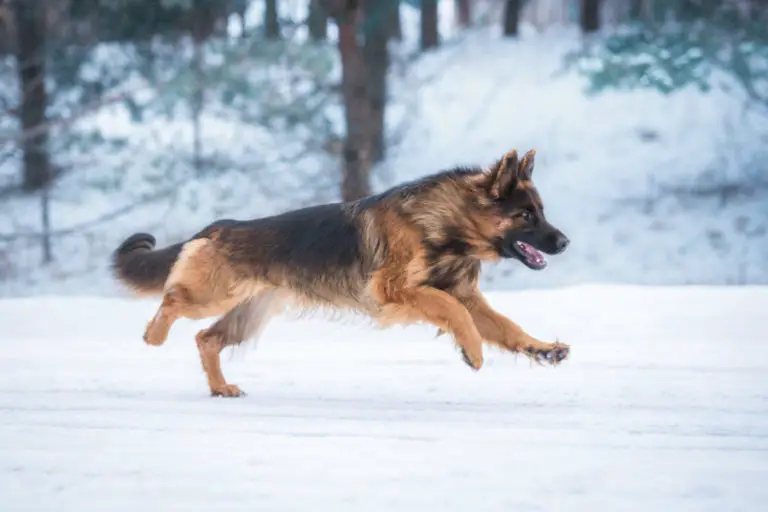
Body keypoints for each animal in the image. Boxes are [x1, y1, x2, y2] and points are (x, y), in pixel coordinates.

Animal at [112, 148, 568, 396]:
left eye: (542, 211)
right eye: (526, 215)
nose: (564, 242)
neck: (447, 225)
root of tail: (220, 225)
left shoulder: (466, 296)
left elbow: (505, 326)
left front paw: (542, 348)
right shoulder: (398, 290)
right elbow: (452, 311)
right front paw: (471, 349)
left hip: (248, 314)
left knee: (206, 339)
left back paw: (220, 387)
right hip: (213, 295)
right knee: (173, 302)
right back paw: (155, 334)